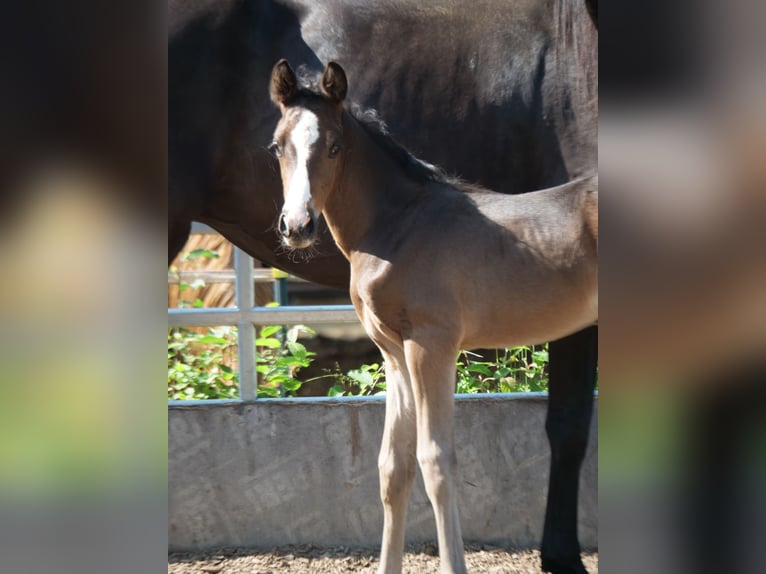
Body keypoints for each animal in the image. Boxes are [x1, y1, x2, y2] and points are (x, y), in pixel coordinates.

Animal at [170, 2, 600, 572]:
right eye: (276, 146)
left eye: (333, 146)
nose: (297, 226)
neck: (400, 223)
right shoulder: (393, 353)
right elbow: (392, 467)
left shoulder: (430, 346)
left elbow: (435, 460)